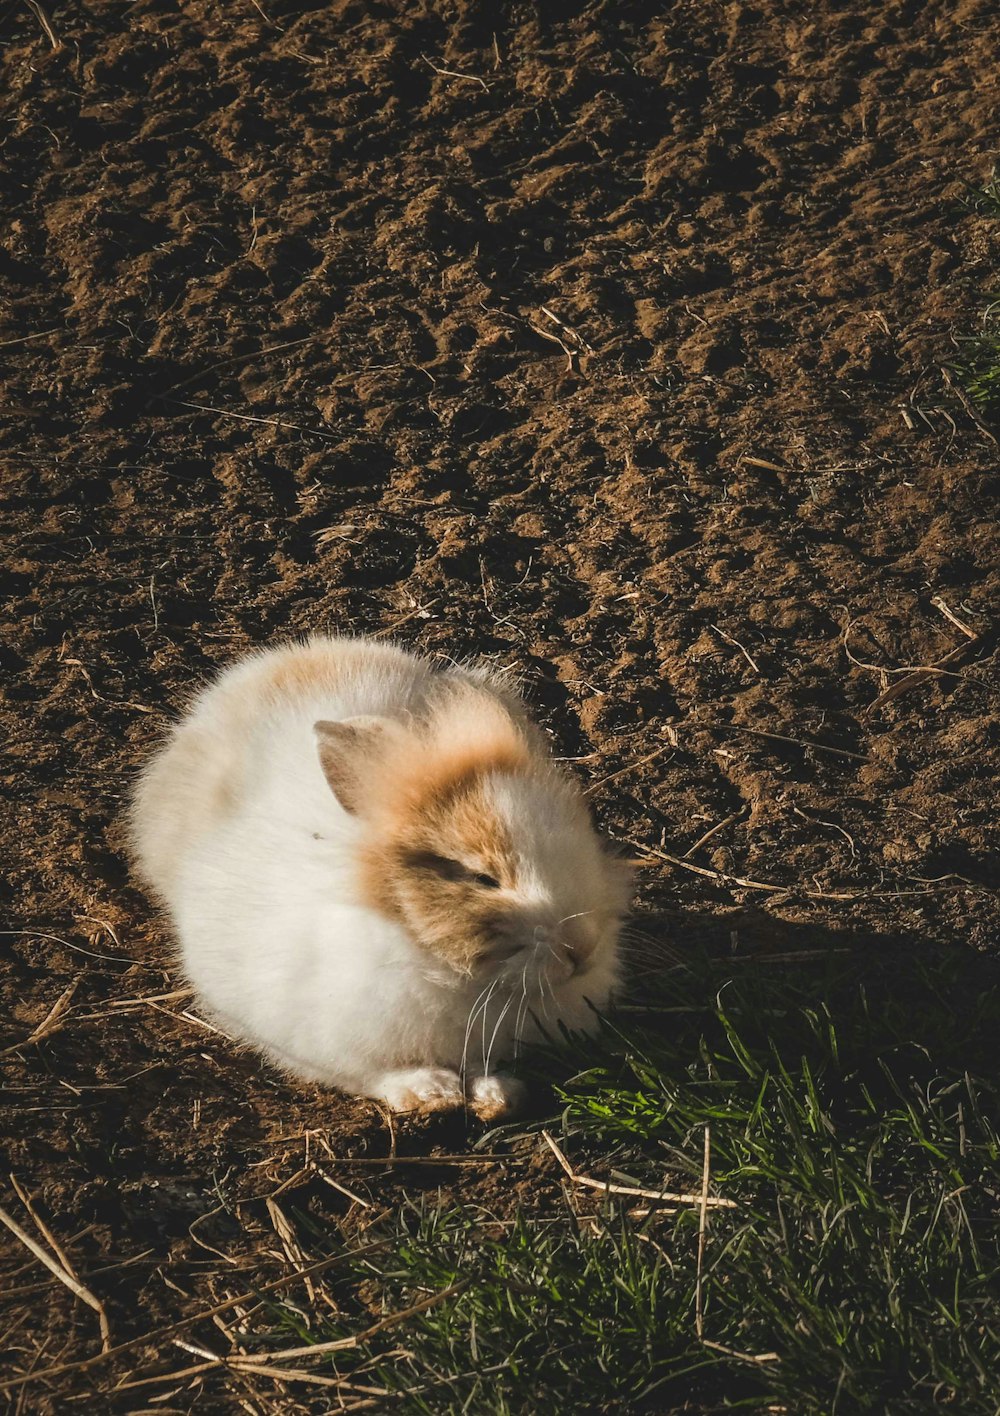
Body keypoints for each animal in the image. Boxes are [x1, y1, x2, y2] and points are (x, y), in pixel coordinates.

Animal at [128, 640, 631, 1115]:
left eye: (584, 835)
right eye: (480, 877)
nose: (582, 947)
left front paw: (494, 1094)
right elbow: (371, 1075)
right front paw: (429, 1092)